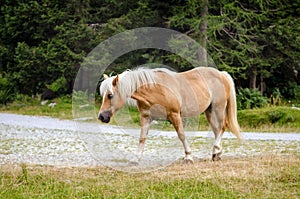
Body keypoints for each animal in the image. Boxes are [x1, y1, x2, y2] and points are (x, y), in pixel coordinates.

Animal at [98, 67, 241, 163]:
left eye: (110, 95)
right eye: (103, 94)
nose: (101, 117)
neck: (155, 89)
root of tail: (221, 74)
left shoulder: (174, 115)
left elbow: (182, 135)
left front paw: (188, 157)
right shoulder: (146, 118)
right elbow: (142, 138)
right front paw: (136, 159)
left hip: (218, 108)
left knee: (222, 127)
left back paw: (216, 150)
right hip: (209, 111)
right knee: (217, 130)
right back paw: (217, 154)